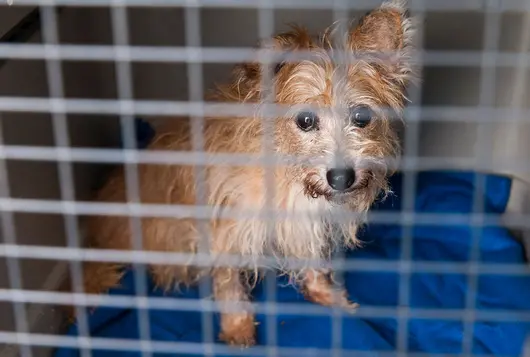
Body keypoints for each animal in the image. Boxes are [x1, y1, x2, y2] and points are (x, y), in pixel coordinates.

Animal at [78, 0, 414, 344]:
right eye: (305, 120)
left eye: (361, 117)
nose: (341, 178)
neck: (285, 171)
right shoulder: (224, 230)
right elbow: (229, 287)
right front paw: (237, 328)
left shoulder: (305, 224)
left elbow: (312, 260)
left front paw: (326, 294)